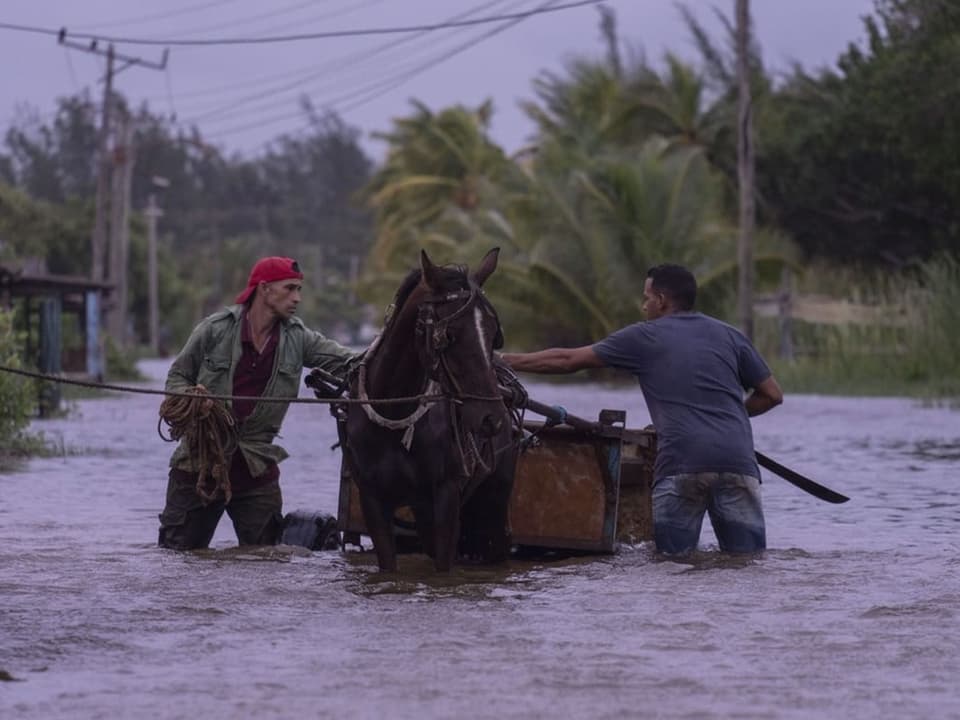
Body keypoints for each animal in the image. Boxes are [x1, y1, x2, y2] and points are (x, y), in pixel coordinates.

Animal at [344, 249, 516, 572]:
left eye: (493, 335)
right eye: (450, 336)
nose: (492, 418)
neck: (396, 412)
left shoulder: (446, 495)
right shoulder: (372, 498)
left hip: (497, 495)